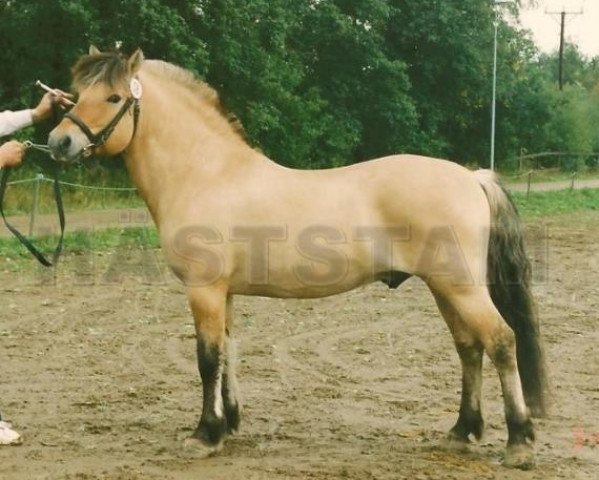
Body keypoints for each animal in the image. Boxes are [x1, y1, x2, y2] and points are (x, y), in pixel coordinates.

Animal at [48, 48, 548, 468]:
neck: (207, 174)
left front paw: (204, 435)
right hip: (446, 288)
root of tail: (472, 176)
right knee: (469, 348)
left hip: (460, 287)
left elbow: (207, 359)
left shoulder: (203, 291)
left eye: (113, 96)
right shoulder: (224, 293)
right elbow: (229, 352)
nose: (59, 142)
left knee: (501, 341)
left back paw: (519, 442)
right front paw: (228, 423)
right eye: (77, 93)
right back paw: (462, 431)